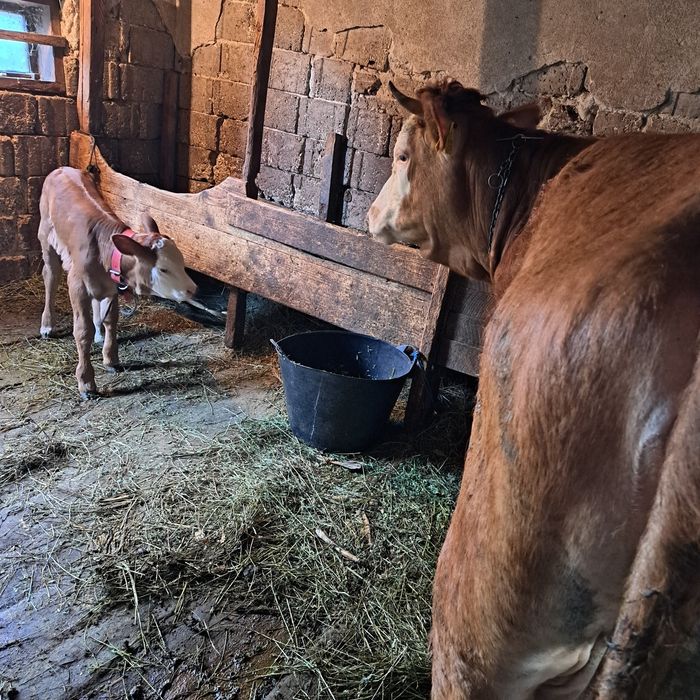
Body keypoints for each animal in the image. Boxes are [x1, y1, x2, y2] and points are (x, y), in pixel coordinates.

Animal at [38, 166, 197, 399]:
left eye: (182, 261)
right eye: (163, 269)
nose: (192, 289)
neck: (104, 251)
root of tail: (62, 168)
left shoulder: (113, 286)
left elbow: (111, 320)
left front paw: (111, 359)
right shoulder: (77, 284)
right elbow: (82, 331)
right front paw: (86, 382)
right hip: (46, 236)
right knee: (50, 275)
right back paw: (47, 325)